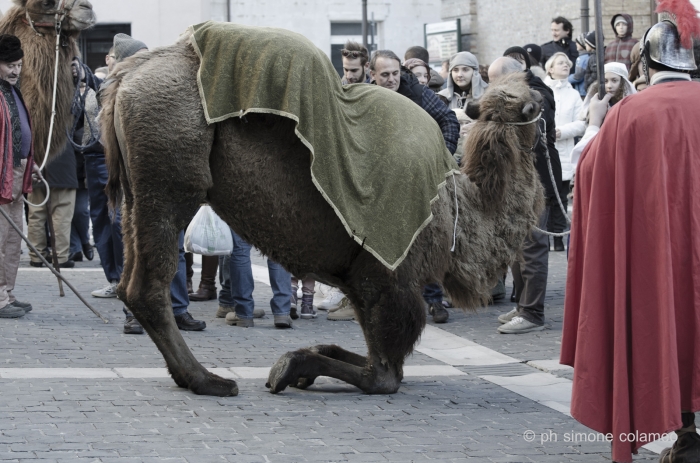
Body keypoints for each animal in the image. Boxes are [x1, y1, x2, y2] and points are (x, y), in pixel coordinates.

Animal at [101, 34, 544, 400]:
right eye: (533, 105)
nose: (540, 103)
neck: (456, 209)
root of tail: (124, 78)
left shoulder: (361, 276)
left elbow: (368, 355)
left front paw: (301, 363)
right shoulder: (387, 275)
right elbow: (383, 374)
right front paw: (289, 367)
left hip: (136, 195)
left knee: (131, 278)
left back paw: (192, 375)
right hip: (170, 187)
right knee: (148, 284)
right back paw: (209, 380)